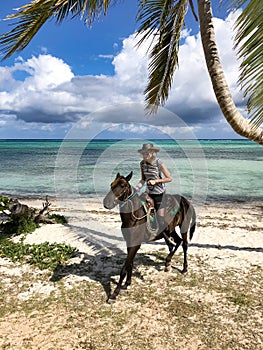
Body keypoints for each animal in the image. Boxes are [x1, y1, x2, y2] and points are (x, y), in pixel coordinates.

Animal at [103, 171, 196, 302]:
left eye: (122, 185)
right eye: (111, 184)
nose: (106, 203)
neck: (134, 216)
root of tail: (185, 201)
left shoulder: (135, 245)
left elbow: (124, 268)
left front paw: (114, 293)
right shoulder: (130, 243)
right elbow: (129, 264)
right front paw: (127, 283)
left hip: (183, 227)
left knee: (185, 244)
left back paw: (184, 268)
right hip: (171, 230)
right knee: (178, 242)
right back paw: (167, 262)